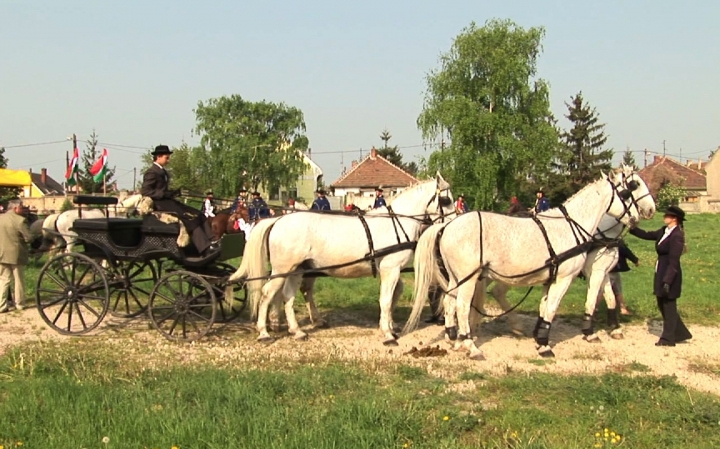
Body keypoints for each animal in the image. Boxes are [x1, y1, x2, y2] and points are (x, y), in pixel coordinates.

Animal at [229, 173, 456, 344]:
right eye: (446, 200)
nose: (453, 223)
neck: (394, 222)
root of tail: (277, 220)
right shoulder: (390, 269)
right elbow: (385, 299)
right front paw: (388, 333)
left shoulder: (392, 270)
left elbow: (394, 294)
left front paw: (391, 325)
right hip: (282, 269)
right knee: (268, 293)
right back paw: (264, 332)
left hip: (297, 270)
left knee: (289, 295)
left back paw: (297, 331)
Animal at [404, 170, 640, 358]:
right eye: (627, 192)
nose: (638, 217)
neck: (571, 226)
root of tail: (447, 225)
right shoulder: (566, 278)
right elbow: (553, 308)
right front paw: (545, 346)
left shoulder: (551, 278)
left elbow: (545, 307)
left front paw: (539, 337)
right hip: (469, 279)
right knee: (462, 307)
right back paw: (471, 346)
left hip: (457, 277)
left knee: (450, 303)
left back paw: (456, 339)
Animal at [486, 164, 656, 340]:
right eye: (635, 184)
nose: (652, 209)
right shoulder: (594, 272)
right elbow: (591, 300)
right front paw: (589, 331)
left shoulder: (603, 272)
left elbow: (610, 299)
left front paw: (615, 328)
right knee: (497, 291)